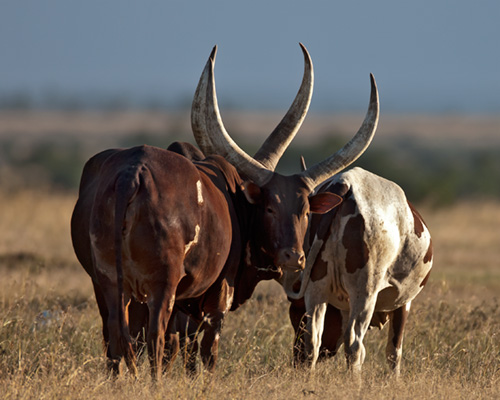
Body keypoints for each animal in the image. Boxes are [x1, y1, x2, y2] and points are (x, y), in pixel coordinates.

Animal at [284, 167, 432, 376]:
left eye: (296, 315)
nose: (297, 362)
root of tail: (345, 182)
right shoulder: (403, 301)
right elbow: (394, 351)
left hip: (316, 286)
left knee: (313, 338)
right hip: (365, 291)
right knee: (354, 342)